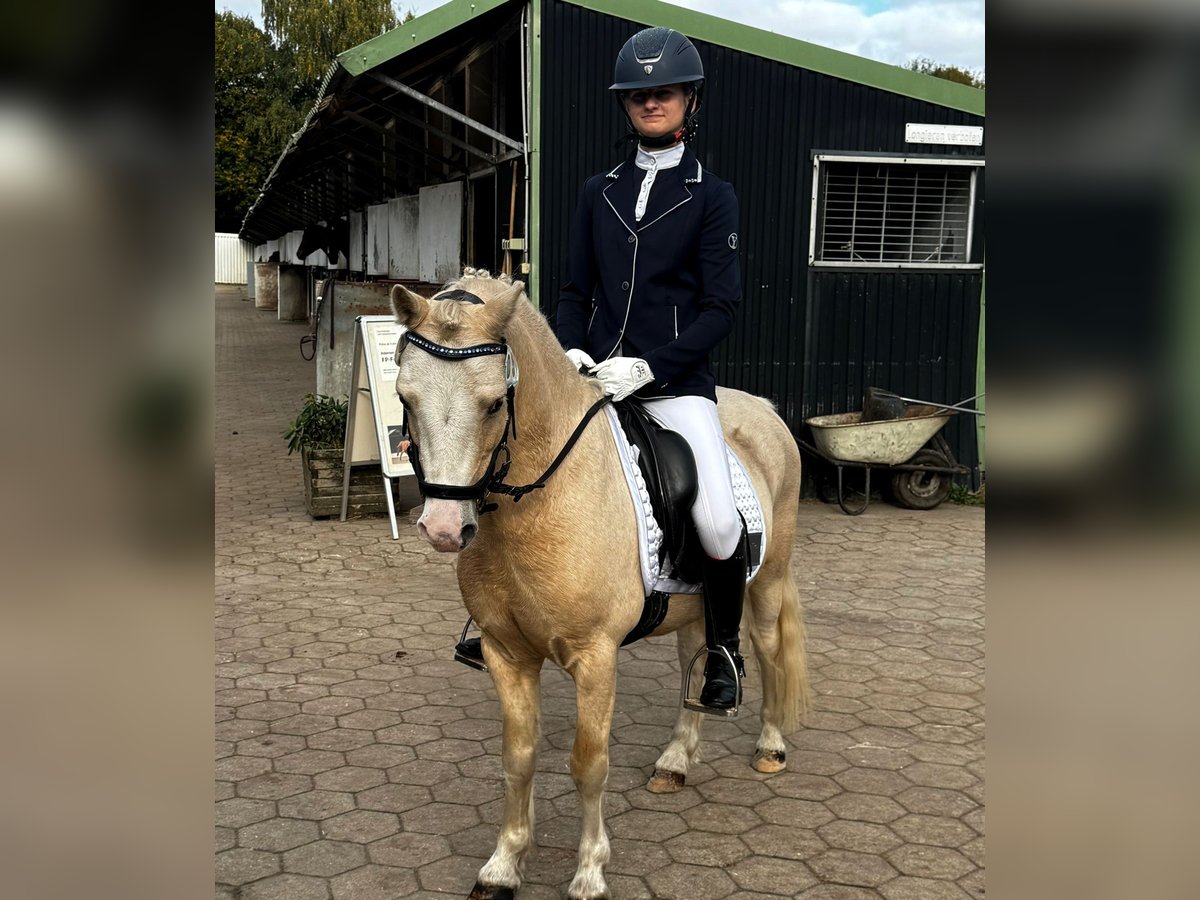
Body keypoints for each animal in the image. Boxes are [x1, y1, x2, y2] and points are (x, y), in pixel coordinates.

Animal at [389, 268, 810, 900]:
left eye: (493, 405)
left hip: (766, 583)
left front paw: (589, 871)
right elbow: (518, 757)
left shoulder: (595, 657)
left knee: (767, 650)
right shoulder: (506, 653)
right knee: (696, 656)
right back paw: (675, 761)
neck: (536, 502)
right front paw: (503, 866)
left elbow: (588, 764)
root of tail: (762, 407)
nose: (443, 528)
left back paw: (770, 747)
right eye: (405, 398)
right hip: (694, 604)